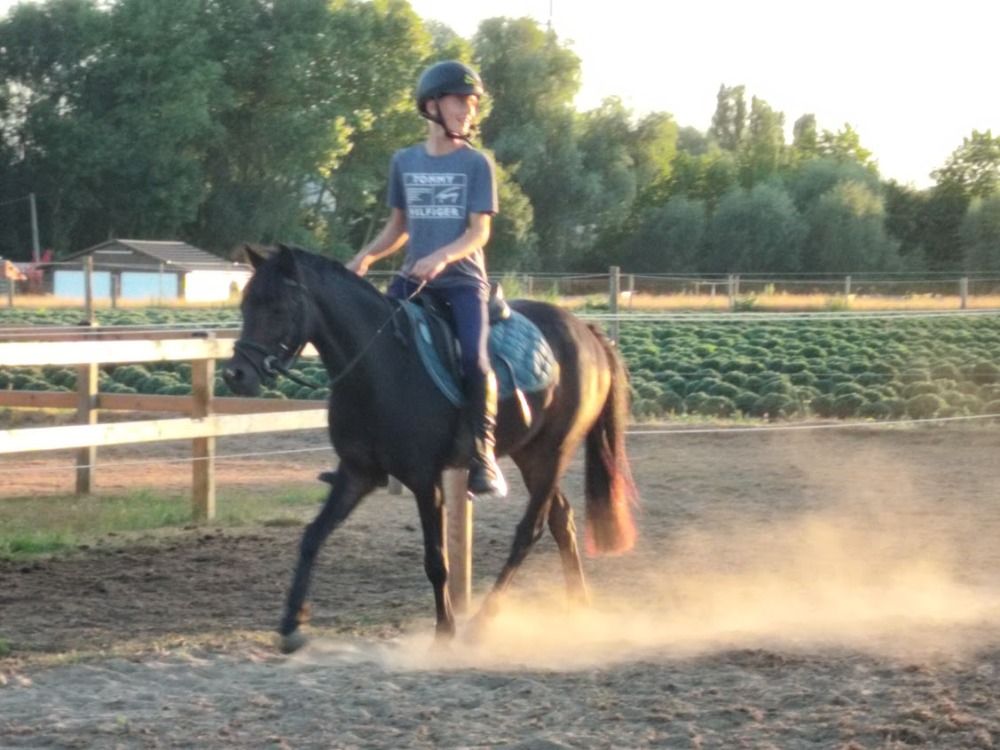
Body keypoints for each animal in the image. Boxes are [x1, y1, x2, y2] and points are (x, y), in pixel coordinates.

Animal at [223, 245, 637, 653]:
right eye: (245, 305)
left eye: (278, 307)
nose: (235, 375)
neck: (379, 365)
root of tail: (587, 332)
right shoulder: (357, 473)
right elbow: (312, 536)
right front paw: (292, 624)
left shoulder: (424, 480)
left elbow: (436, 559)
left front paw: (444, 631)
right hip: (530, 454)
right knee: (561, 519)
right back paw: (578, 608)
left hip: (554, 451)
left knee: (529, 531)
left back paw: (482, 623)